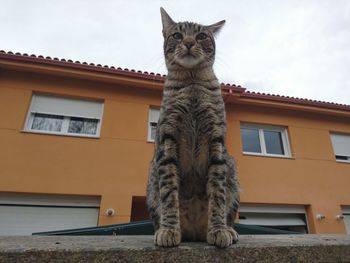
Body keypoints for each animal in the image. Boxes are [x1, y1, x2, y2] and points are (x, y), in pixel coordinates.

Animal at [146, 7, 241, 249]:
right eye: (177, 35)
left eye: (201, 36)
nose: (189, 42)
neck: (191, 83)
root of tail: (195, 232)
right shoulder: (168, 140)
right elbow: (169, 193)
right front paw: (170, 230)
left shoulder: (217, 142)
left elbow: (217, 194)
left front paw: (218, 230)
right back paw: (162, 228)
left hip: (232, 172)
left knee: (229, 210)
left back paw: (228, 229)